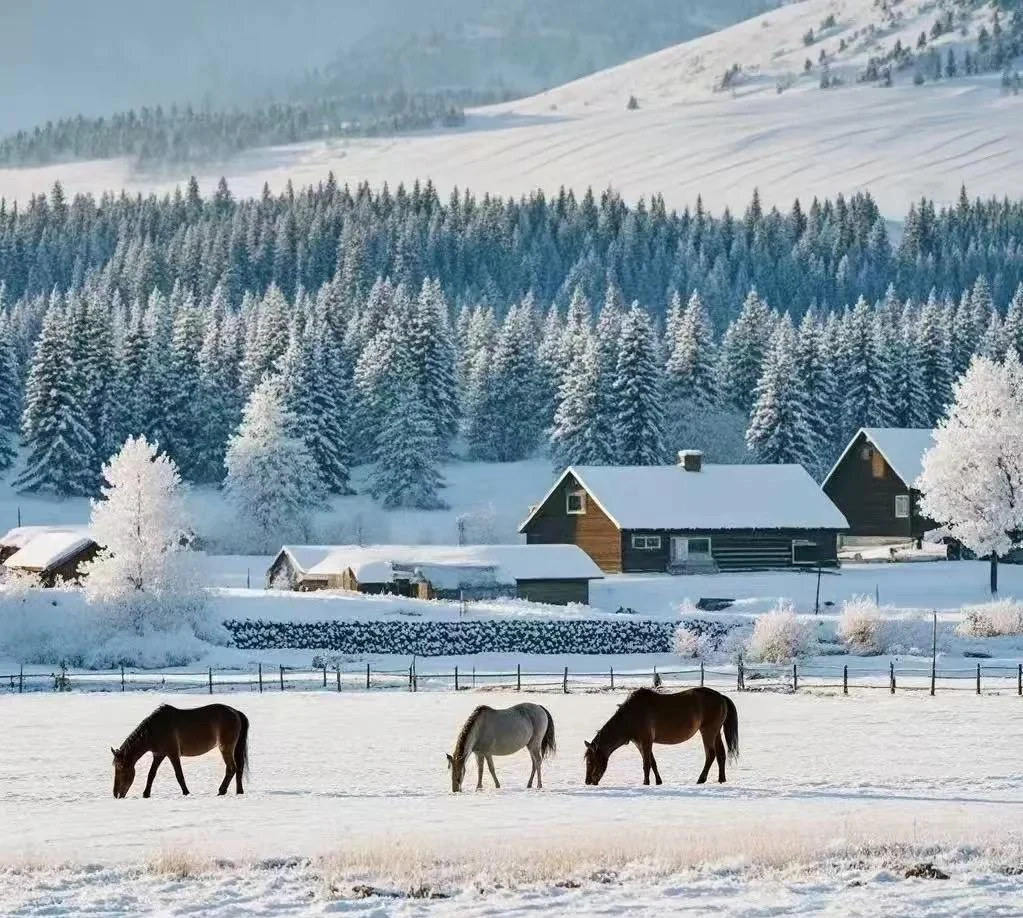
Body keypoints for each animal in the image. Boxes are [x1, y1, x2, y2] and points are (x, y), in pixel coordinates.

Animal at [111, 703, 249, 798]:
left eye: (120, 766)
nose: (116, 794)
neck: (155, 729)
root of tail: (236, 712)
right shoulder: (159, 755)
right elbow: (151, 774)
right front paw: (146, 794)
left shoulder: (173, 754)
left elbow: (179, 775)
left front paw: (186, 792)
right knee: (239, 768)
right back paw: (239, 792)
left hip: (225, 748)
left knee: (231, 768)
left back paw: (221, 791)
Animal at [583, 686, 738, 786]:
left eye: (590, 761)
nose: (588, 782)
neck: (630, 717)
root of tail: (721, 697)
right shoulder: (641, 743)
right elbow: (652, 762)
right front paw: (658, 782)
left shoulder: (646, 741)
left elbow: (646, 764)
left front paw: (645, 783)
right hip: (716, 733)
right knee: (721, 754)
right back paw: (721, 779)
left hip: (708, 731)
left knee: (711, 754)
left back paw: (701, 779)